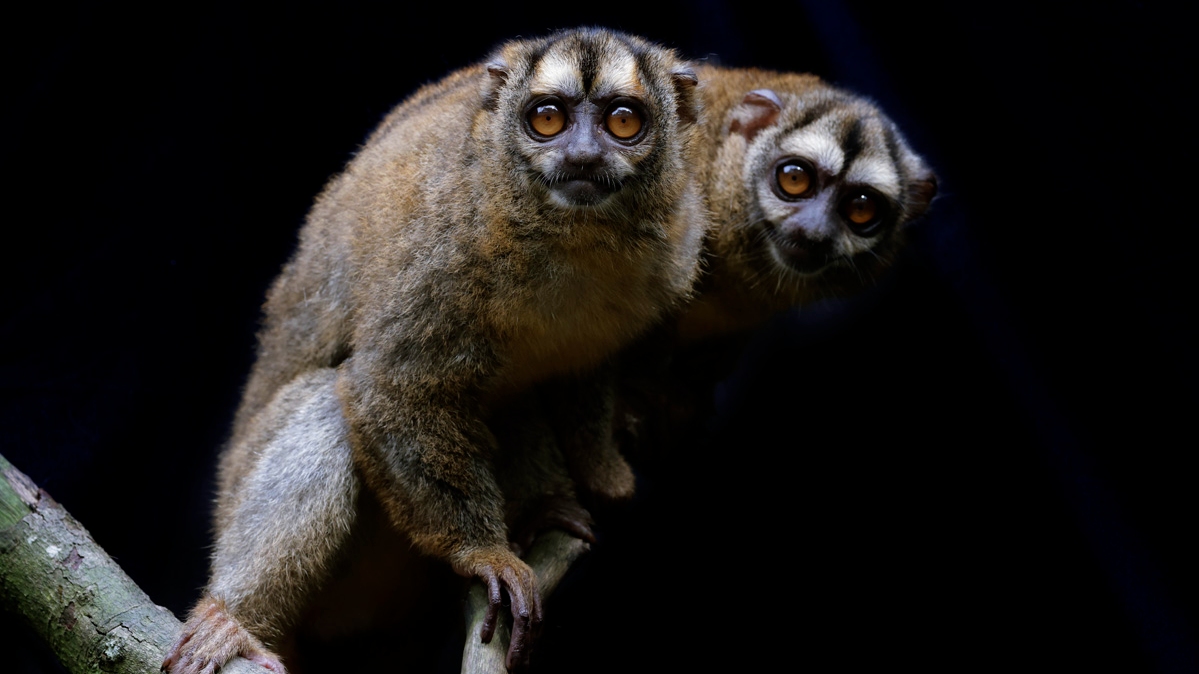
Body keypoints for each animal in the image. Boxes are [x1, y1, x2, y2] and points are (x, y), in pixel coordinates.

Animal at [161, 28, 707, 674]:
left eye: (623, 122)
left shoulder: (677, 242)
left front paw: (605, 472)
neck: (572, 238)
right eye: (547, 119)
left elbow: (583, 374)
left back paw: (541, 513)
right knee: (328, 407)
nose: (581, 157)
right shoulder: (447, 248)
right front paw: (485, 554)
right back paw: (234, 622)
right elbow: (387, 384)